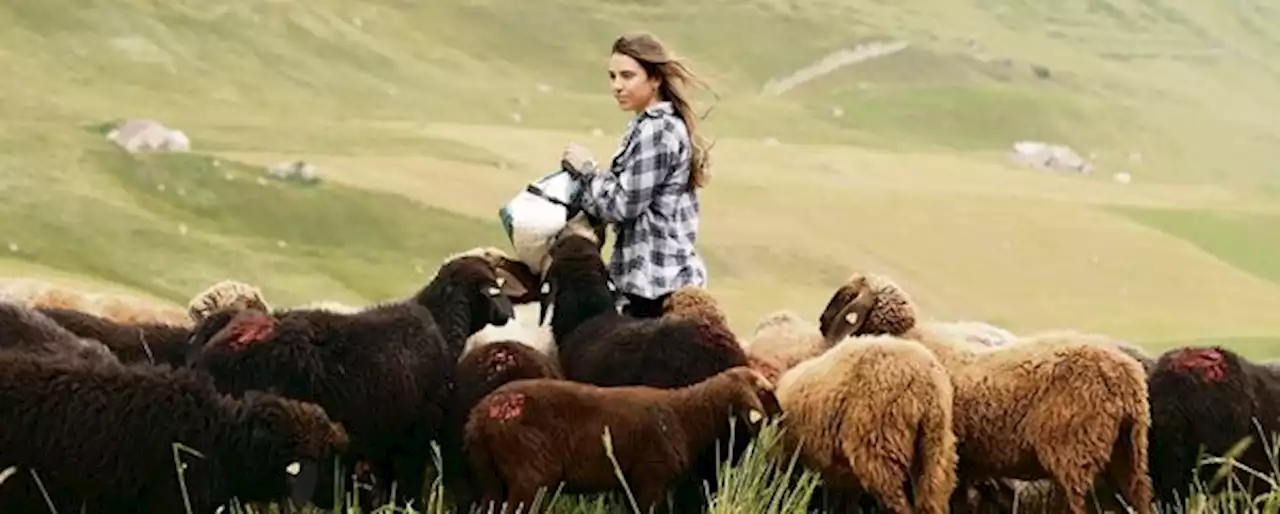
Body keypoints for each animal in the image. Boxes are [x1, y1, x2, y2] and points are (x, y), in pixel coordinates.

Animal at [465, 365, 773, 514]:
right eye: (764, 392)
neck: (686, 417)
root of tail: (479, 416)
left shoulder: (632, 485)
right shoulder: (651, 479)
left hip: (491, 478)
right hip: (528, 476)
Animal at [819, 273, 1162, 514]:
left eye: (846, 296)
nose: (822, 324)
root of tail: (1127, 375)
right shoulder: (965, 465)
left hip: (1076, 457)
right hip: (1128, 457)